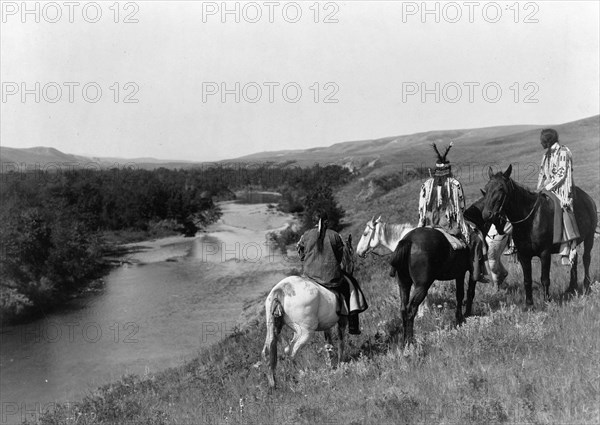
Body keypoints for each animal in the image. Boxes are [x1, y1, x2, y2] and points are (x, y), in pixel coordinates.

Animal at [482, 164, 596, 304]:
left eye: (501, 188)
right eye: (487, 188)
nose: (486, 214)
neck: (530, 221)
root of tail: (588, 199)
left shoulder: (544, 253)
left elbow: (545, 279)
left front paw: (547, 301)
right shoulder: (523, 255)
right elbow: (527, 280)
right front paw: (529, 303)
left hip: (590, 237)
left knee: (586, 258)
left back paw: (586, 284)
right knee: (574, 260)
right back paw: (571, 287)